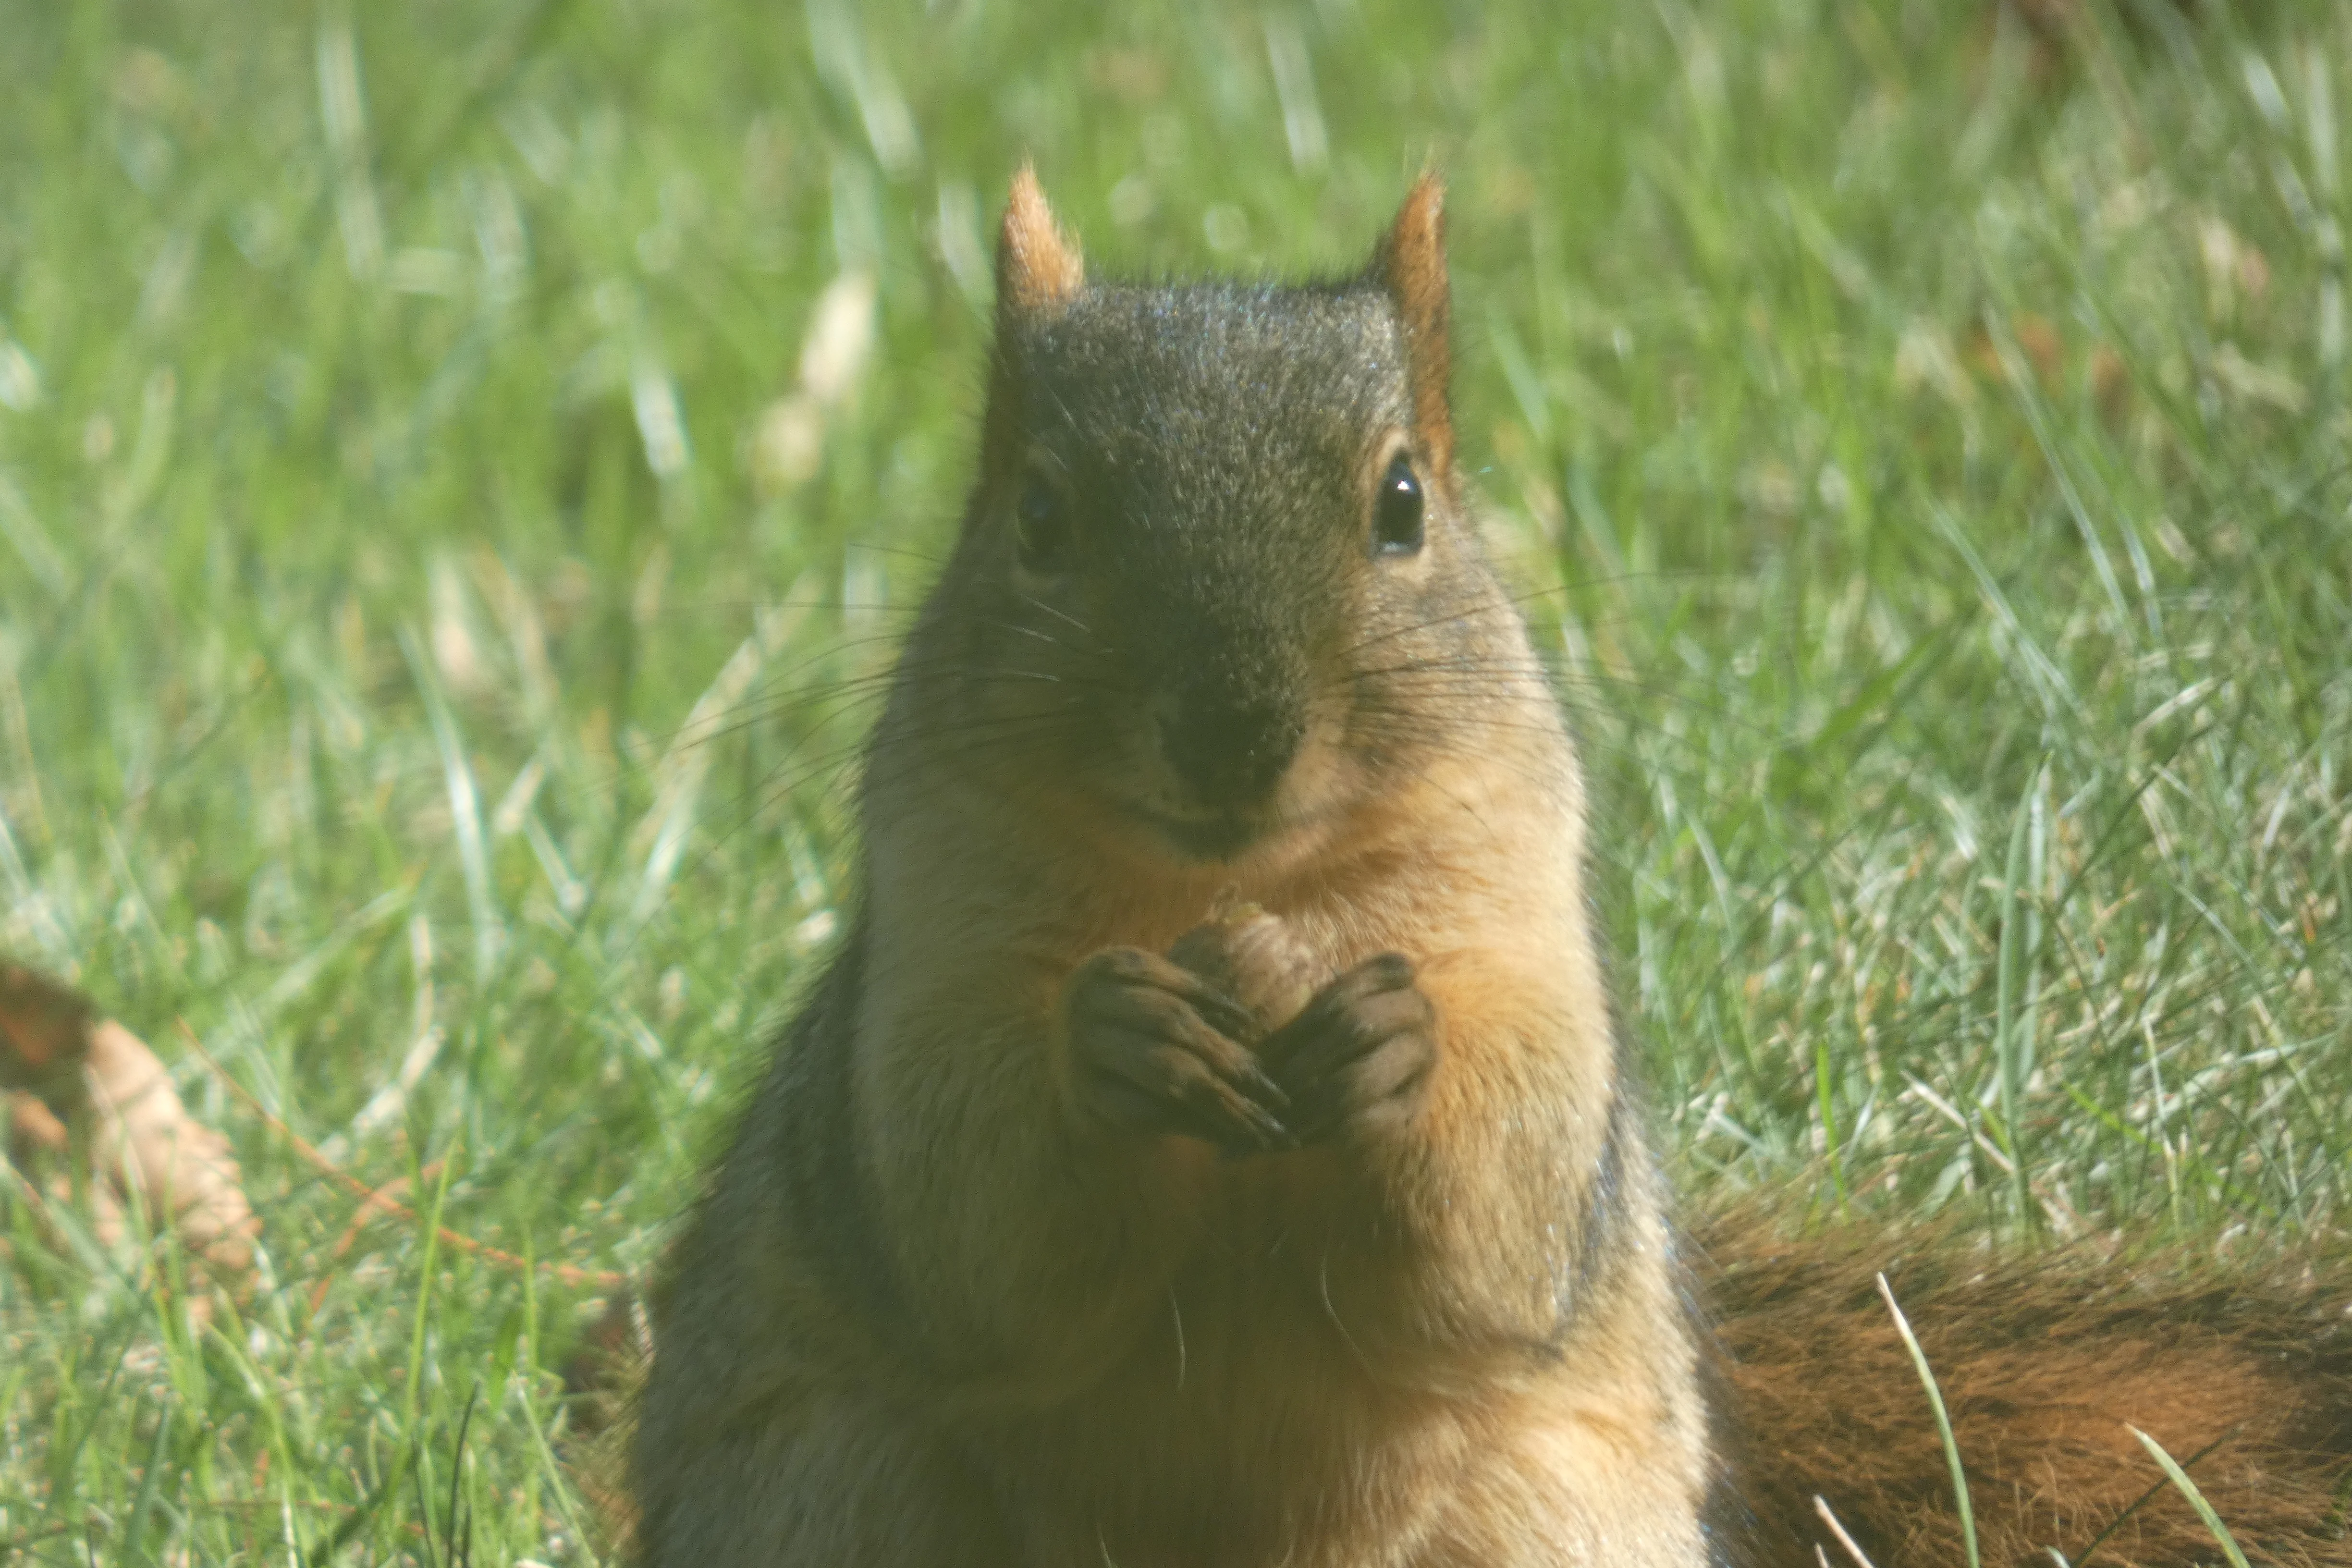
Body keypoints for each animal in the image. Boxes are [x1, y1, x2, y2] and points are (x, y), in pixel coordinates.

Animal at [622, 170, 2352, 1567]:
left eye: (1403, 502)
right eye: (1039, 517)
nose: (1230, 733)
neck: (1236, 896)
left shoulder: (1530, 947)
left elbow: (1497, 1226)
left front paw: (1399, 1045)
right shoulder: (919, 977)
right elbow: (964, 1222)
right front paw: (1109, 1042)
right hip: (841, 1489)